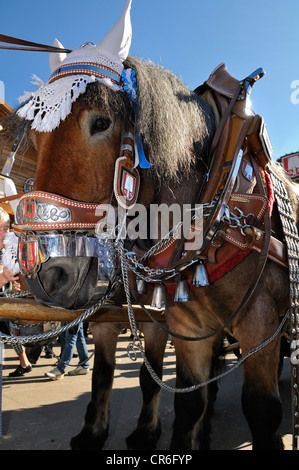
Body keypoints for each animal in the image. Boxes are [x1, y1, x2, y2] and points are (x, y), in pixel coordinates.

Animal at [5, 53, 299, 450]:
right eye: (37, 138)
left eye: (101, 122)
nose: (46, 275)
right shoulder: (180, 325)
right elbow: (178, 397)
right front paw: (94, 432)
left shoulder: (258, 323)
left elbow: (260, 409)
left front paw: (145, 432)